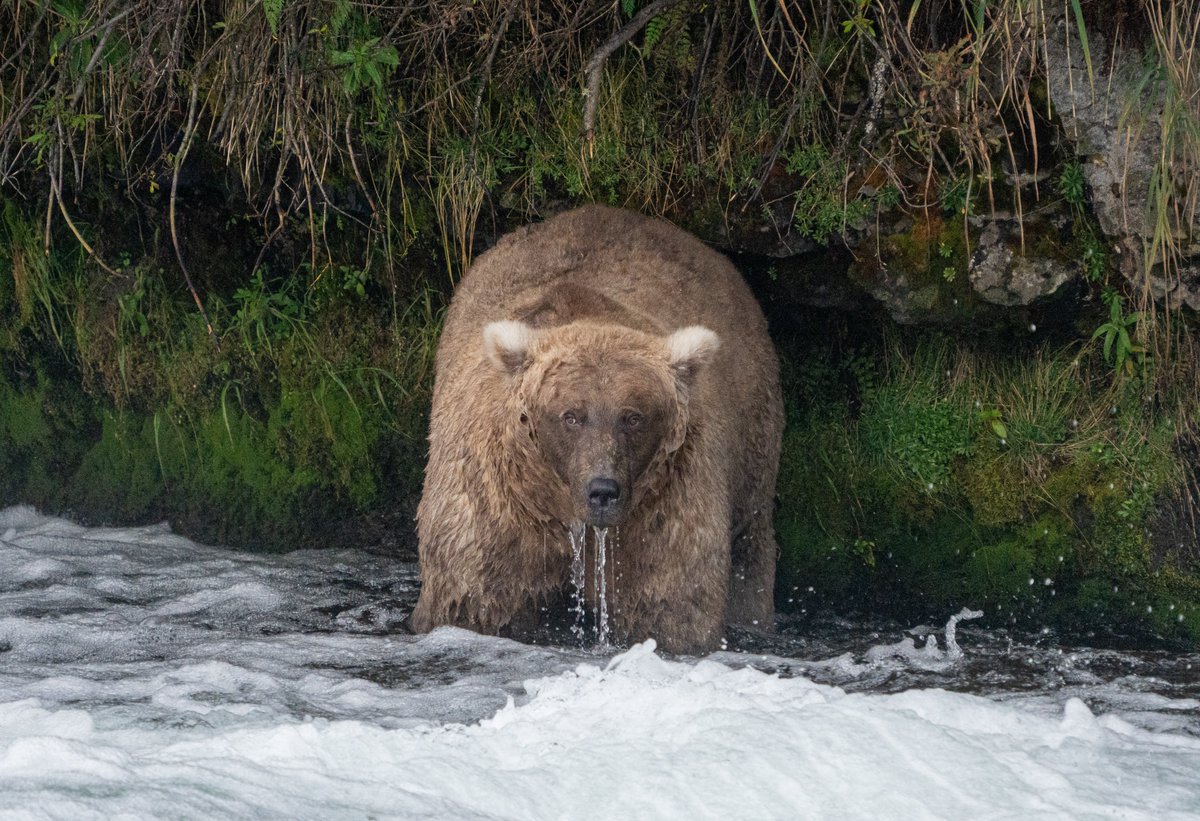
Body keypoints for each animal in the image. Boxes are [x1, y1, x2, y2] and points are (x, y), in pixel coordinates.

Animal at [410, 205, 787, 652]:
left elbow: (671, 605)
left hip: (752, 439)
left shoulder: (663, 509)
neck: (566, 513)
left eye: (634, 417)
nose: (603, 490)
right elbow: (472, 598)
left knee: (750, 543)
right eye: (571, 415)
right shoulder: (497, 507)